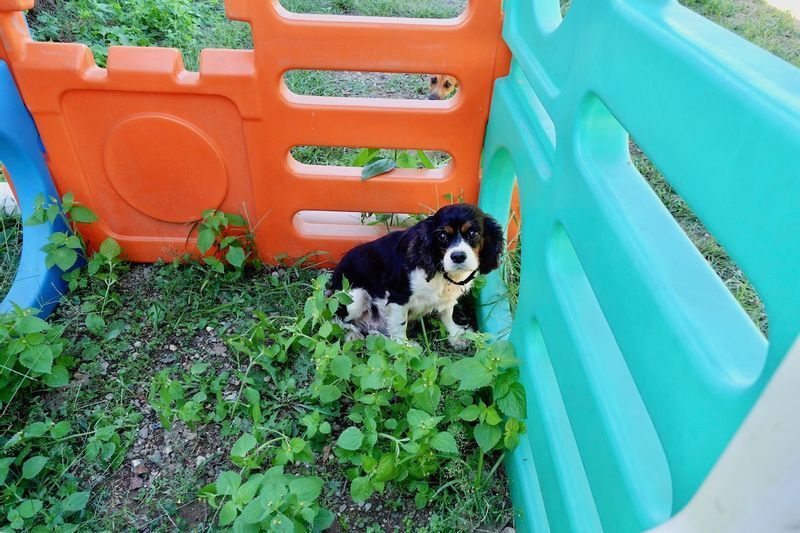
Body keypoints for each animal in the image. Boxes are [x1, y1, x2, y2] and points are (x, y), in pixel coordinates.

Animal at [332, 202, 500, 348]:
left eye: (473, 234)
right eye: (442, 236)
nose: (458, 256)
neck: (439, 270)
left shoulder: (447, 297)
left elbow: (447, 314)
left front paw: (456, 335)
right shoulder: (398, 297)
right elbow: (399, 325)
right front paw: (405, 347)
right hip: (354, 296)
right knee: (337, 319)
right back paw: (353, 335)